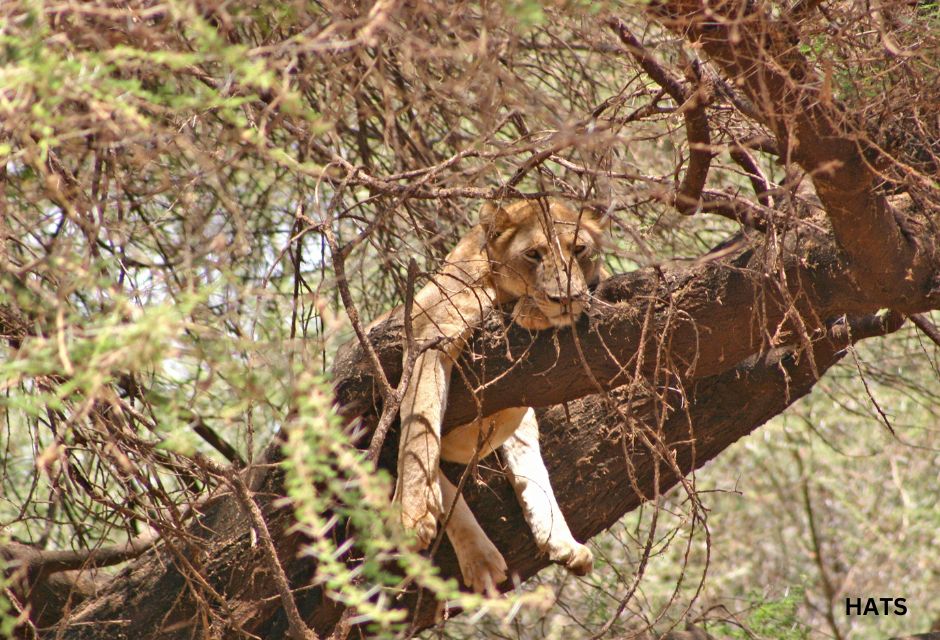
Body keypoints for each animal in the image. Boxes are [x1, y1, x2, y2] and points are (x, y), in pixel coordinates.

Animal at [394, 198, 604, 592]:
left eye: (580, 250)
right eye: (534, 254)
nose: (565, 299)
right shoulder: (428, 331)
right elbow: (419, 423)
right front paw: (412, 516)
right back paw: (480, 558)